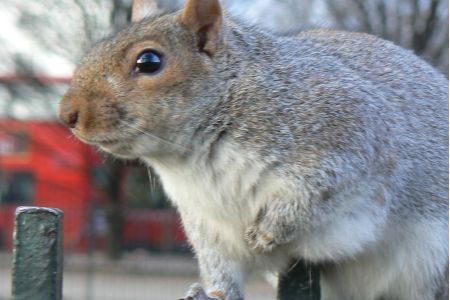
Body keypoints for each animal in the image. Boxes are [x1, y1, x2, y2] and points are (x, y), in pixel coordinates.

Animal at [58, 0, 448, 298]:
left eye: (149, 61)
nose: (66, 114)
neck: (193, 160)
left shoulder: (352, 136)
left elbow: (321, 189)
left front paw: (269, 230)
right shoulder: (208, 225)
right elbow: (222, 268)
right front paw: (212, 294)